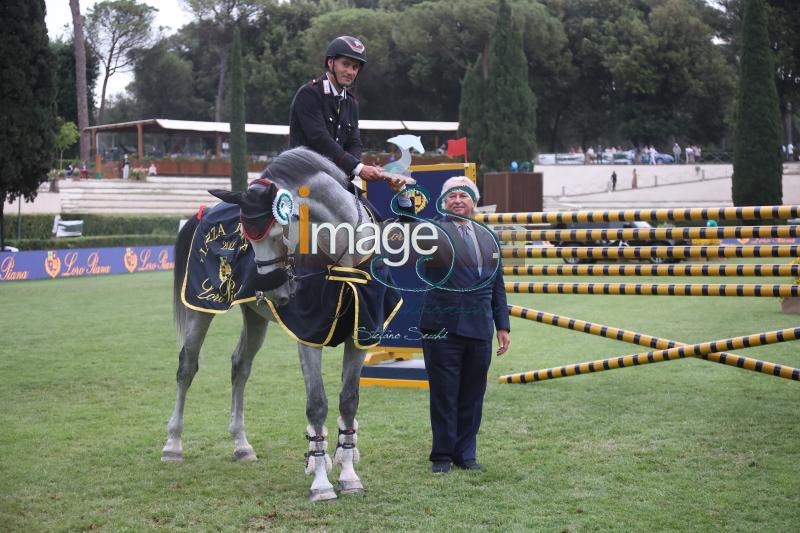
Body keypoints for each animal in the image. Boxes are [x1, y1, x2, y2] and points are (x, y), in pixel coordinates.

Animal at [161, 148, 382, 500]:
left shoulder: (360, 336)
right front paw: (321, 482)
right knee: (187, 368)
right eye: (248, 239)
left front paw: (349, 475)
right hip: (200, 309)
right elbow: (317, 404)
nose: (275, 290)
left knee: (240, 367)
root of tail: (204, 212)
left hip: (254, 317)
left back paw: (241, 445)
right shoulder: (308, 337)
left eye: (281, 231)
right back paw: (173, 444)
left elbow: (348, 401)